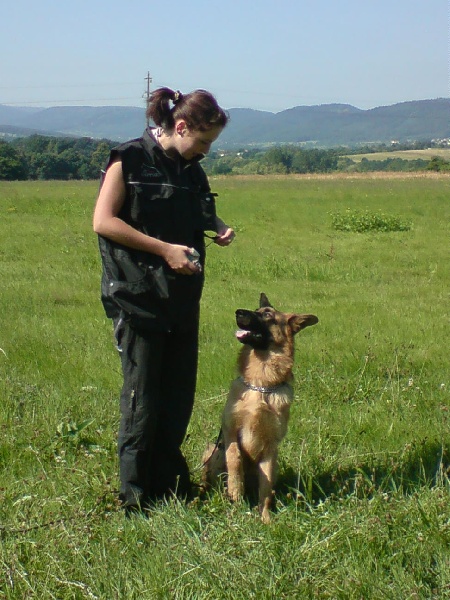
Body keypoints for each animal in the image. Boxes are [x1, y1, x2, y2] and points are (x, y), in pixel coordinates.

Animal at [202, 292, 318, 524]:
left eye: (266, 315)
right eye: (256, 309)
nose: (238, 312)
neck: (261, 385)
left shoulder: (271, 448)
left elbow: (265, 488)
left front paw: (265, 518)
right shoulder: (230, 432)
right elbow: (235, 461)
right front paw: (235, 493)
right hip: (211, 451)